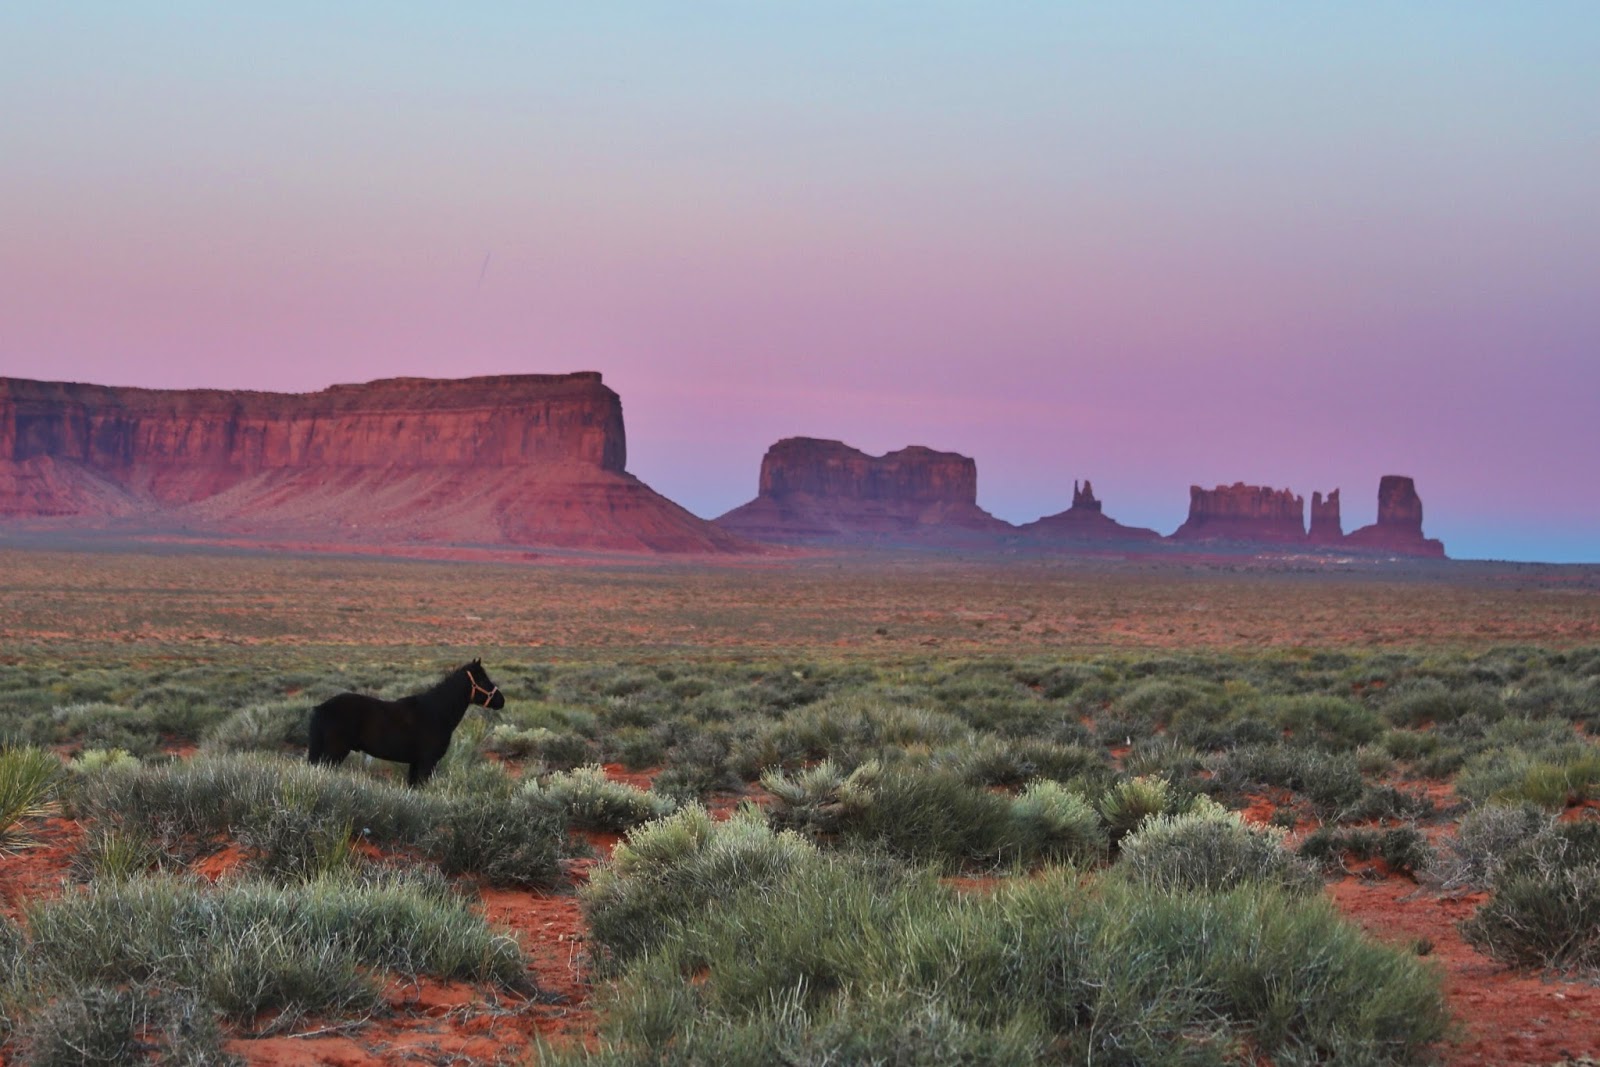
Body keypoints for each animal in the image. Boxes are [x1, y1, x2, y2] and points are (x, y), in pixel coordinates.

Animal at [307, 658, 506, 786]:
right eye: (483, 680)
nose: (501, 700)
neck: (436, 712)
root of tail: (322, 707)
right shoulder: (427, 762)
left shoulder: (415, 763)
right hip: (335, 752)